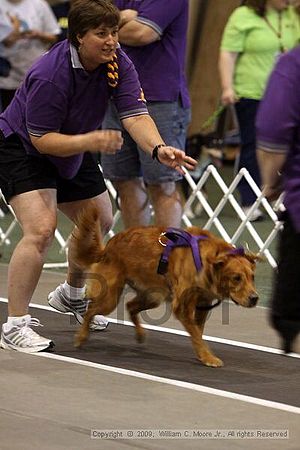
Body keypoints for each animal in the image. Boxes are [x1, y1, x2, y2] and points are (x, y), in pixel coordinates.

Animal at [71, 206, 258, 368]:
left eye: (252, 277)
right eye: (236, 278)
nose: (255, 298)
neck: (207, 263)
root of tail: (108, 246)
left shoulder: (203, 304)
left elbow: (198, 332)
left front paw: (202, 354)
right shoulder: (182, 306)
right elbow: (196, 334)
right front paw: (208, 357)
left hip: (153, 296)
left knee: (130, 306)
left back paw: (140, 334)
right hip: (111, 297)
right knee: (91, 310)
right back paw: (81, 337)